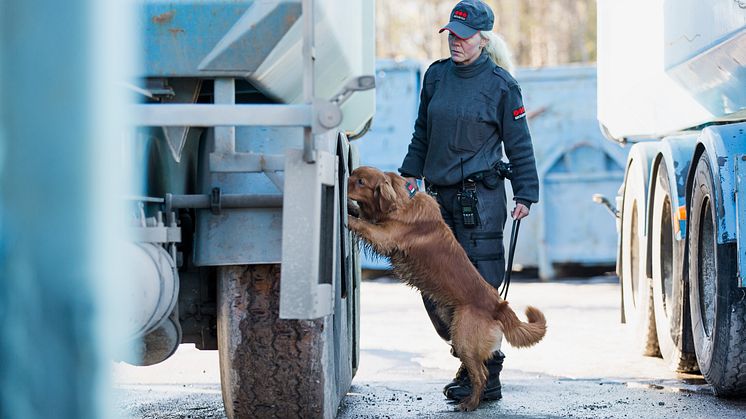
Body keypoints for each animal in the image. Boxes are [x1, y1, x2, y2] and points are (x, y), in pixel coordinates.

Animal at [346, 166, 544, 412]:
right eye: (352, 175)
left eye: (360, 182)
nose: (343, 181)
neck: (403, 201)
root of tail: (499, 305)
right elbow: (360, 215)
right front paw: (350, 208)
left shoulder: (385, 236)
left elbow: (363, 224)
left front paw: (347, 217)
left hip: (463, 337)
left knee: (481, 374)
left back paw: (470, 403)